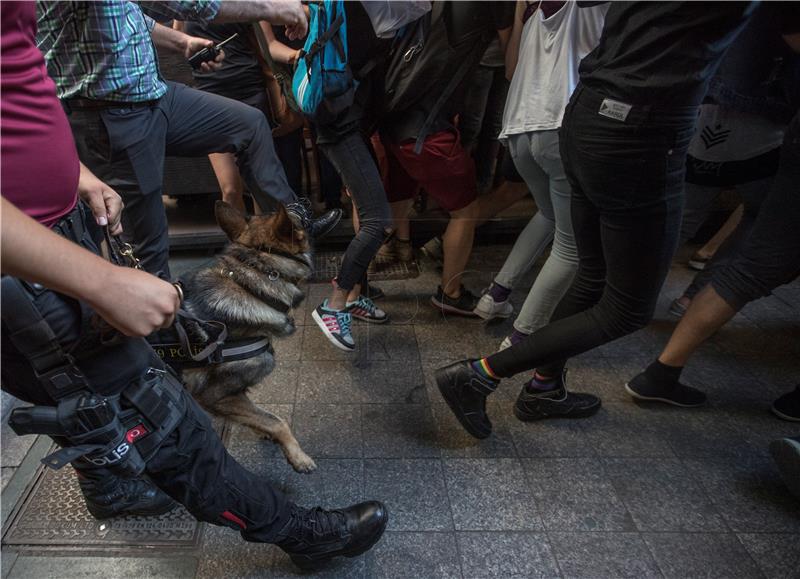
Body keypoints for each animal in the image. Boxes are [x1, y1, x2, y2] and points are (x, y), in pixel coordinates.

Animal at [178, 202, 316, 474]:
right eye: (299, 222)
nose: (303, 203)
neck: (250, 288)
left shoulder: (233, 396)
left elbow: (260, 416)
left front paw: (261, 429)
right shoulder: (215, 395)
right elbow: (277, 421)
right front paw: (297, 455)